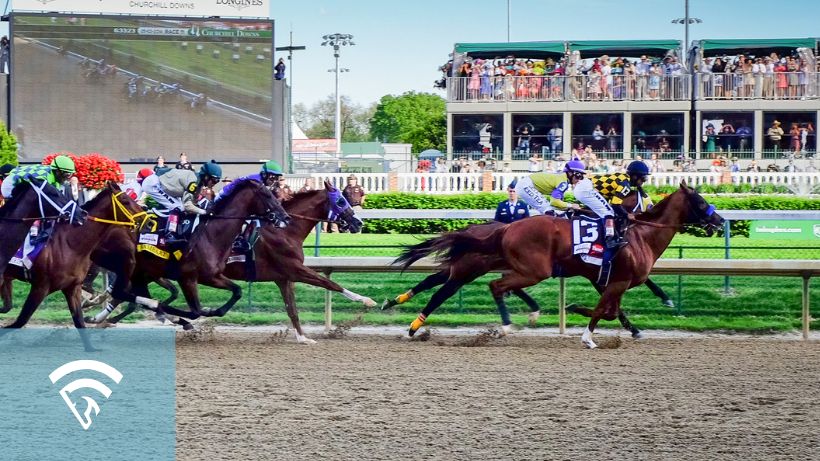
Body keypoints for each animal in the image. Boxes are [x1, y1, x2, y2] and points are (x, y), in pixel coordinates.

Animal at [0, 182, 149, 348]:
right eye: (125, 200)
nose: (149, 221)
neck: (70, 244)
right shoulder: (41, 286)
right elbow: (21, 320)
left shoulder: (72, 287)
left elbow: (79, 321)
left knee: (7, 305)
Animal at [390, 181, 716, 346]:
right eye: (700, 203)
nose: (718, 221)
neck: (638, 234)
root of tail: (504, 229)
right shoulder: (615, 279)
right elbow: (606, 310)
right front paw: (585, 330)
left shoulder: (605, 279)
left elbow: (612, 309)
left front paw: (634, 326)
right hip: (517, 269)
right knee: (479, 287)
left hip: (485, 266)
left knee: (441, 282)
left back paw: (402, 310)